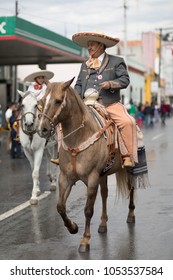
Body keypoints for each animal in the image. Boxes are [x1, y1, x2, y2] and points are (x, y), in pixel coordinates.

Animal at [36, 77, 138, 253]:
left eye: (58, 101)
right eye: (41, 101)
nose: (42, 129)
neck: (79, 138)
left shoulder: (92, 179)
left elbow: (88, 210)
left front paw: (85, 240)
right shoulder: (65, 178)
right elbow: (60, 207)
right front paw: (73, 227)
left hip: (129, 169)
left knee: (131, 188)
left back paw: (131, 215)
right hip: (103, 175)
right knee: (105, 194)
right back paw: (103, 224)